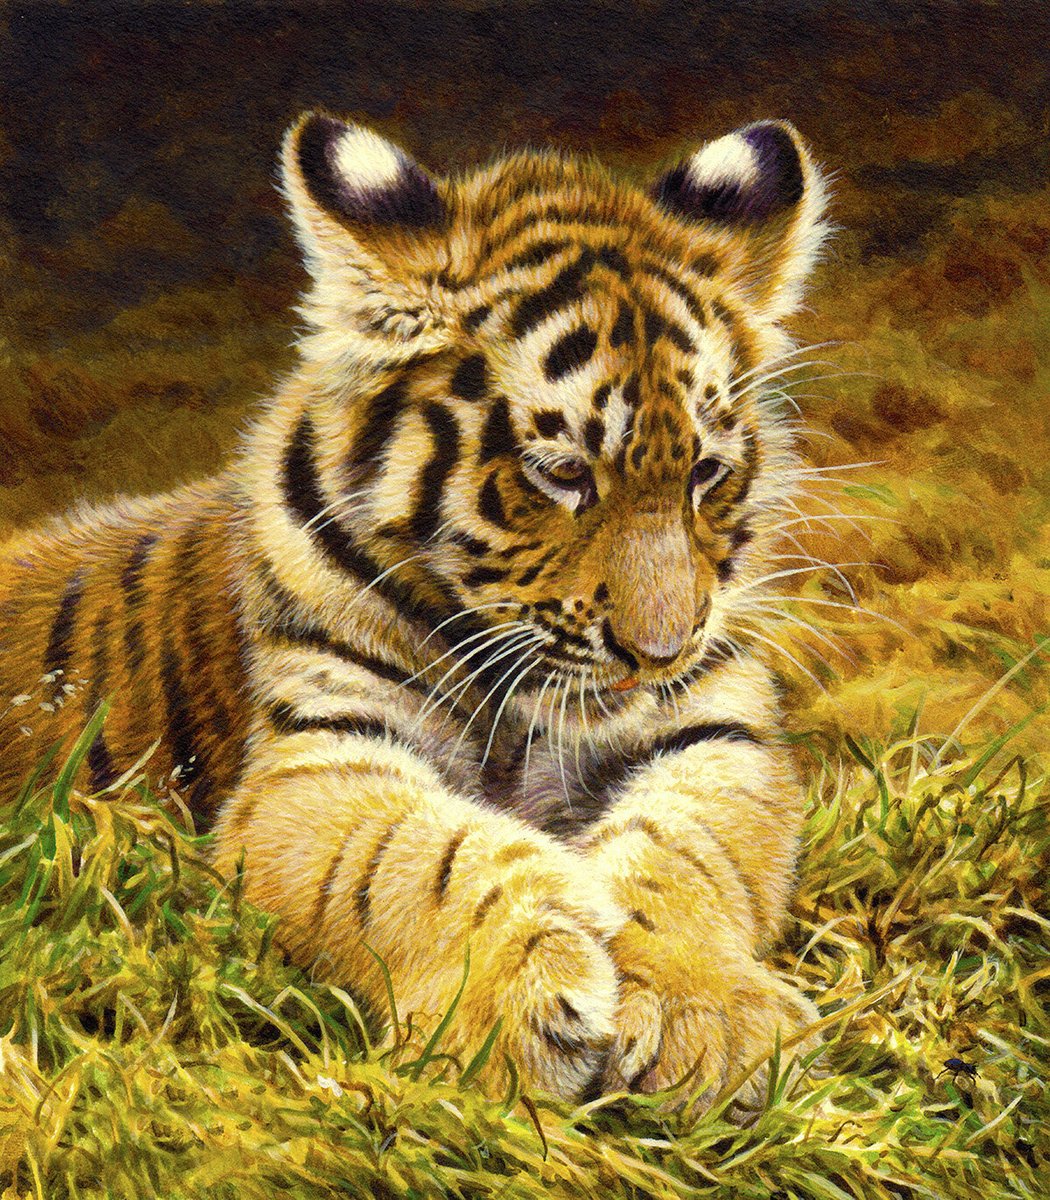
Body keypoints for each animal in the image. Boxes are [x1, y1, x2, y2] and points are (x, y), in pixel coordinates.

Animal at [0, 110, 830, 1104]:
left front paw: (705, 1014)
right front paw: (517, 997)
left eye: (704, 471)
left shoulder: (718, 733)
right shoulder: (310, 764)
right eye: (562, 473)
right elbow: (413, 855)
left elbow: (691, 852)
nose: (660, 653)